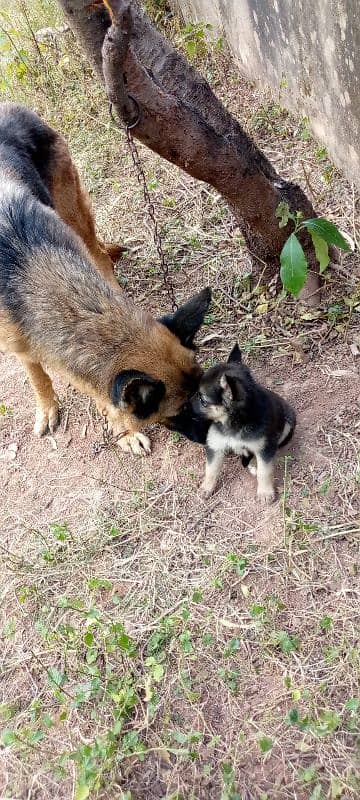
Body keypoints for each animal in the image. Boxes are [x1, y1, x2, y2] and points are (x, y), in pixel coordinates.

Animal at [0, 103, 211, 454]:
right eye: (182, 412)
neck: (28, 267)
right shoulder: (18, 344)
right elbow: (37, 374)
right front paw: (48, 406)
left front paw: (120, 428)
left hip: (72, 210)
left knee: (99, 255)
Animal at [171, 344, 296, 500]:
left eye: (203, 400)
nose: (183, 407)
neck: (233, 422)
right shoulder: (215, 445)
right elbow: (211, 469)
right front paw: (206, 488)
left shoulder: (265, 448)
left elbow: (265, 471)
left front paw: (265, 492)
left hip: (288, 424)